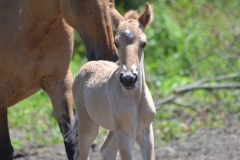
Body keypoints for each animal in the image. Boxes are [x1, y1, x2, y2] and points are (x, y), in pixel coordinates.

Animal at [71, 2, 156, 160]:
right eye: (116, 43)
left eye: (144, 43)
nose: (128, 79)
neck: (135, 99)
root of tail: (86, 66)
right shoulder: (125, 134)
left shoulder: (146, 132)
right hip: (89, 125)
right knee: (82, 153)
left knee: (106, 149)